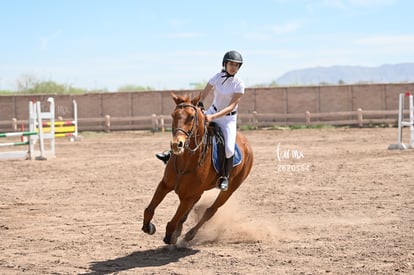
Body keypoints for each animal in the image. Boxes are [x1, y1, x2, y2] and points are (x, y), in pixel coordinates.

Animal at [142, 92, 252, 246]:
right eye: (173, 115)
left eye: (191, 117)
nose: (176, 145)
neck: (186, 161)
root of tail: (247, 144)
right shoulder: (164, 185)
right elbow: (149, 210)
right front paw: (149, 227)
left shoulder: (188, 196)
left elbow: (173, 221)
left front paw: (171, 236)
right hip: (198, 192)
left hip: (229, 189)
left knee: (210, 211)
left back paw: (190, 234)